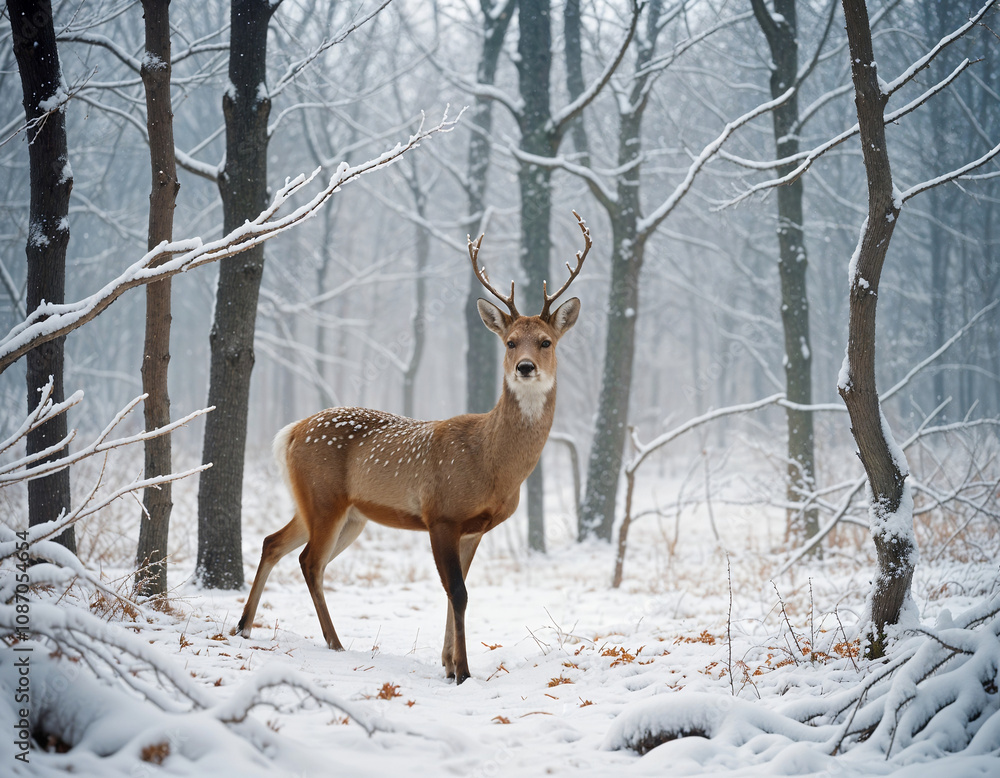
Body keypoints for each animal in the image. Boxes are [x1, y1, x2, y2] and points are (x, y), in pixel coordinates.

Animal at [235, 212, 590, 683]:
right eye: (511, 341)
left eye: (546, 341)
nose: (526, 367)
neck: (493, 465)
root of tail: (291, 431)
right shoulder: (441, 514)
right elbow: (457, 593)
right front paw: (462, 671)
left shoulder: (473, 528)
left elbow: (457, 592)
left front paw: (447, 663)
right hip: (325, 498)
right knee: (310, 560)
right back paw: (333, 642)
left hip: (338, 510)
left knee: (275, 543)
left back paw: (244, 626)